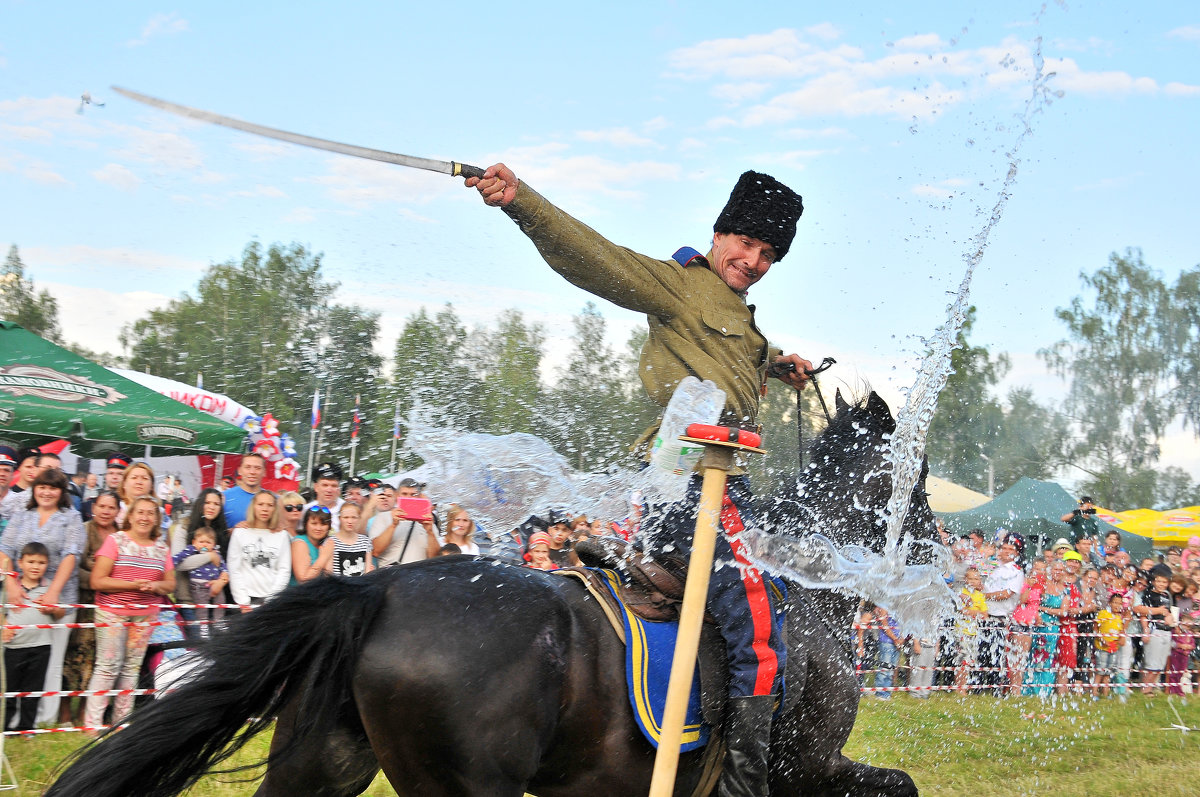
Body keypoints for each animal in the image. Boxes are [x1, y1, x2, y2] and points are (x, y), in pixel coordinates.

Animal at [49, 393, 936, 797]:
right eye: (921, 478)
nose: (931, 545)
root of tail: (379, 587)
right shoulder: (809, 767)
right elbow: (900, 782)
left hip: (322, 761)